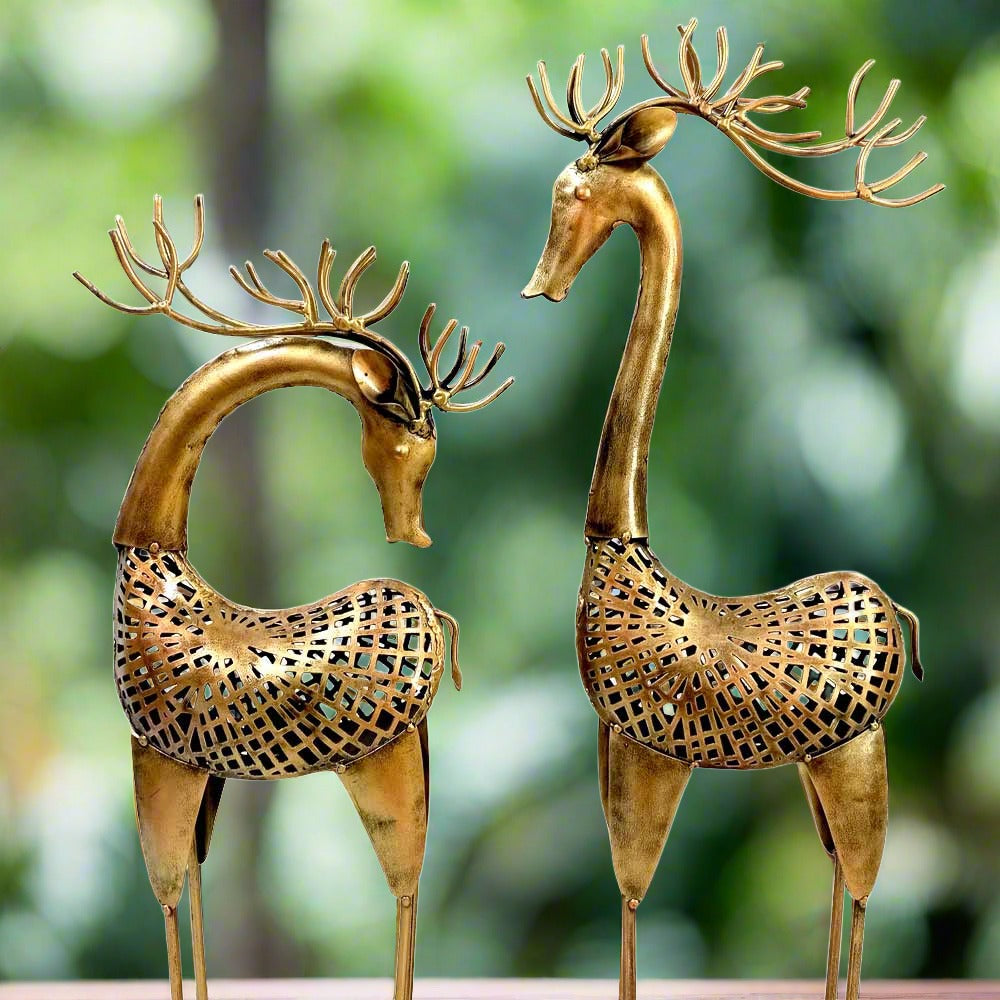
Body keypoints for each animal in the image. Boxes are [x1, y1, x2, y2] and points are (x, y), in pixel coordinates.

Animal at [74, 194, 512, 1000]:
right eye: (408, 441)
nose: (412, 534)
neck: (151, 564)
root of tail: (428, 610)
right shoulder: (197, 771)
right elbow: (191, 890)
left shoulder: (156, 757)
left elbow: (167, 897)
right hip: (407, 753)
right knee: (409, 887)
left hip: (380, 766)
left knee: (405, 890)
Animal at [521, 19, 939, 1000]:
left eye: (573, 195)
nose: (541, 287)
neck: (621, 544)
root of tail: (892, 607)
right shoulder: (616, 745)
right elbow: (628, 899)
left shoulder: (649, 751)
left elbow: (633, 902)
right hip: (822, 757)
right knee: (841, 877)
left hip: (857, 751)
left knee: (866, 885)